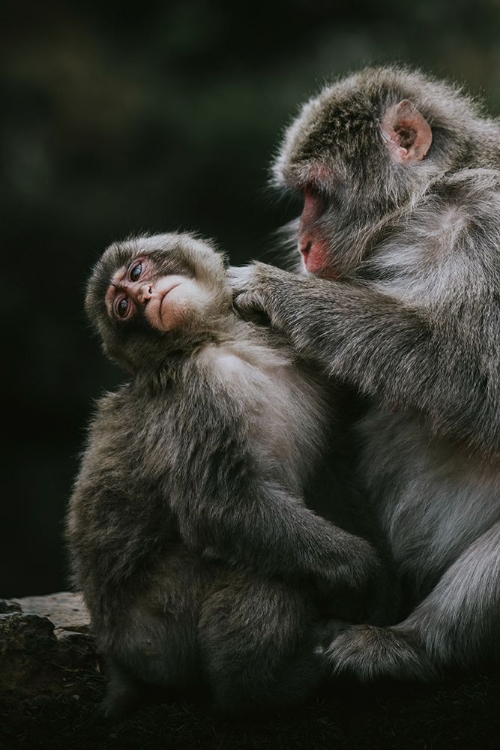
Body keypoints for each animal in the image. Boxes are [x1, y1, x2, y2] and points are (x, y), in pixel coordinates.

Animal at [67, 232, 394, 720]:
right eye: (122, 307)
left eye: (138, 273)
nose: (143, 297)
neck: (222, 341)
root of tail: (113, 648)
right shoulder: (197, 394)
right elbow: (222, 508)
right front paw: (361, 571)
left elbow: (332, 469)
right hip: (159, 630)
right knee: (263, 563)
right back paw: (259, 693)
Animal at [231, 66, 500, 688]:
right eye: (301, 197)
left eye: (318, 194)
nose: (301, 244)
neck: (428, 205)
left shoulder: (490, 224)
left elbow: (474, 375)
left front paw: (278, 293)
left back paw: (414, 643)